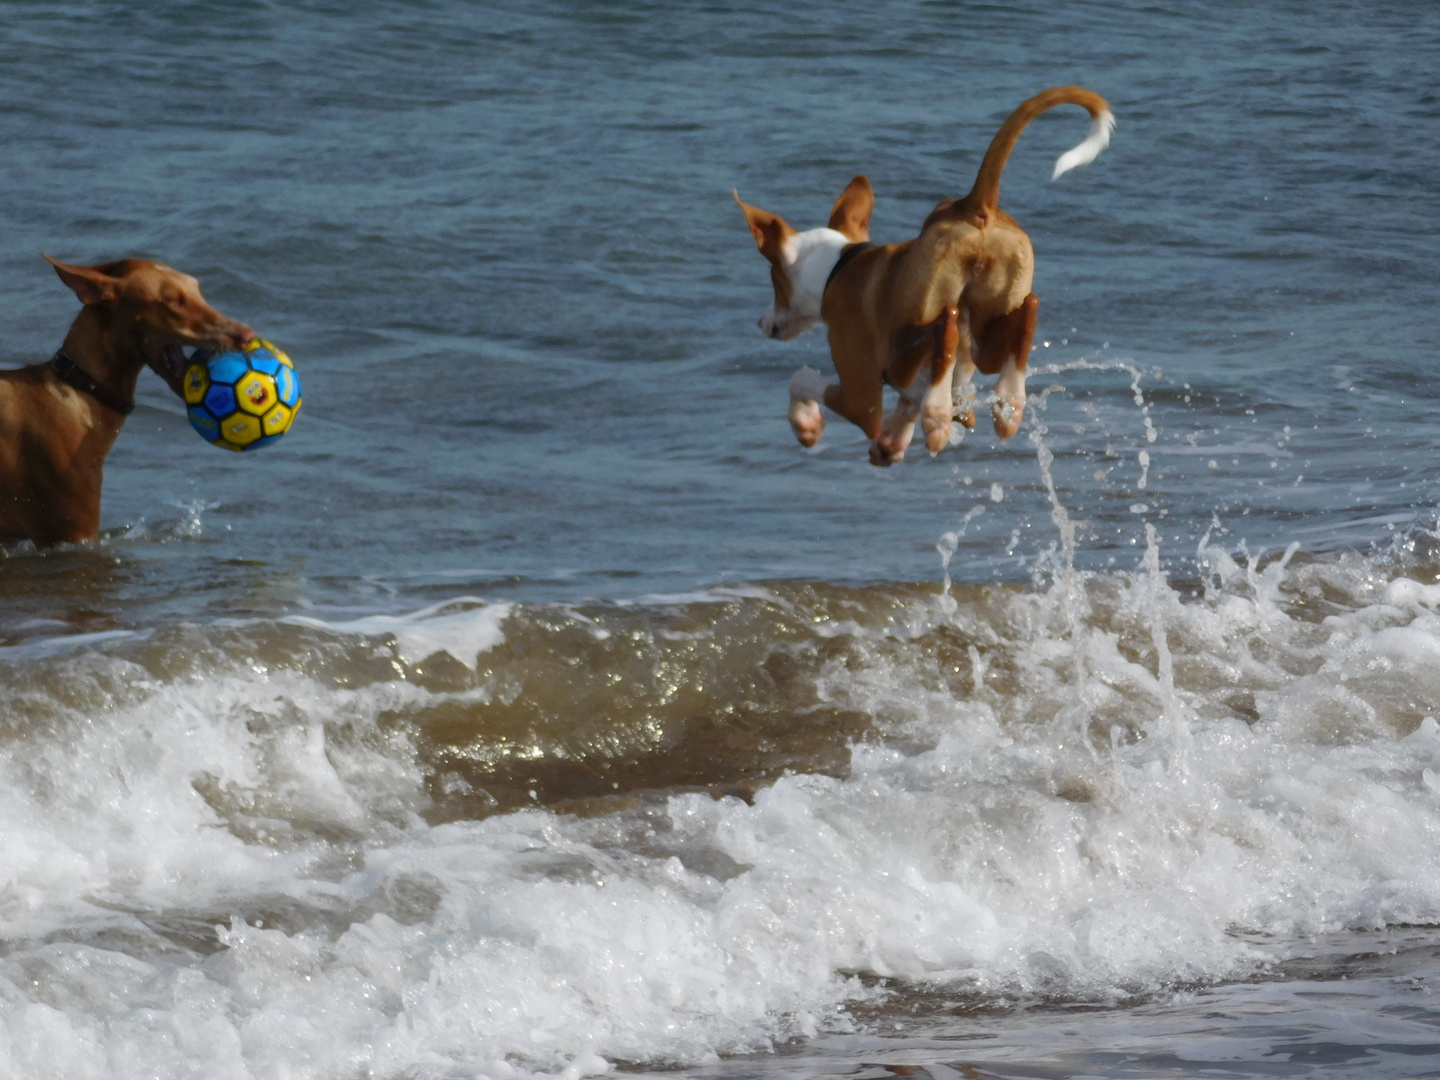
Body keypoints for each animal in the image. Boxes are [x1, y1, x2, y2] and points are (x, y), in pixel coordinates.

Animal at [731, 86, 1111, 466]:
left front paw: (806, 424)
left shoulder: (861, 398)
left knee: (945, 331)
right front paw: (894, 441)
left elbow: (802, 379)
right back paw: (1004, 405)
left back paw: (943, 410)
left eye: (774, 280)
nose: (761, 322)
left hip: (920, 315)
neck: (838, 266)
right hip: (989, 326)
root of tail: (975, 205)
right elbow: (914, 400)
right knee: (1018, 316)